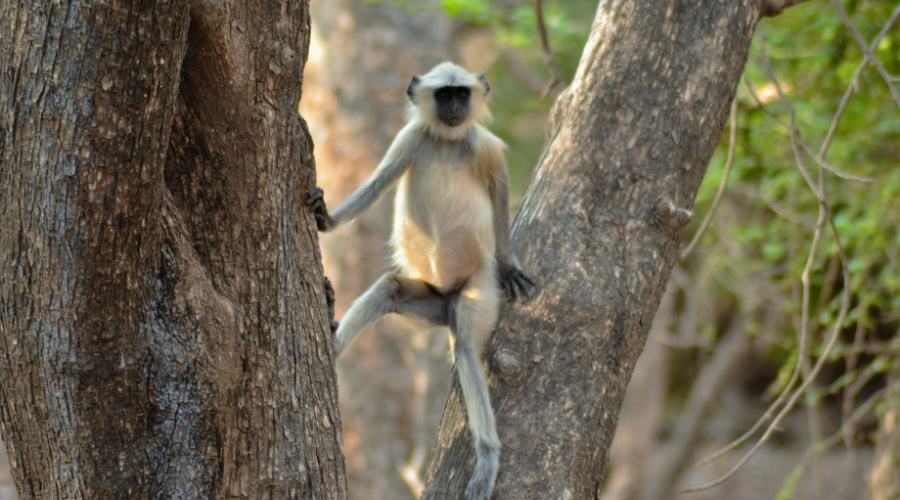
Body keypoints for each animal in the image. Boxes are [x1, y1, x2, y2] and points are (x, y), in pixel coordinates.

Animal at [310, 61, 536, 500]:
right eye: (443, 94)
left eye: (461, 94)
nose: (454, 109)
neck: (448, 141)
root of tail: (448, 298)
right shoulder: (410, 138)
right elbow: (377, 184)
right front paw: (327, 220)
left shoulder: (484, 146)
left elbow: (499, 192)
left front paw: (508, 263)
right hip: (432, 303)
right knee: (390, 288)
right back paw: (334, 344)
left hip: (475, 291)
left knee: (465, 348)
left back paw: (487, 459)